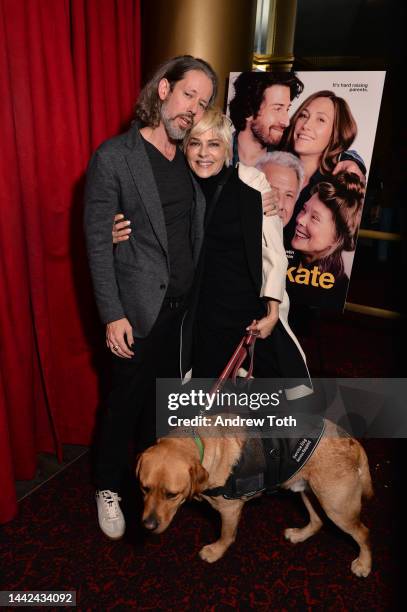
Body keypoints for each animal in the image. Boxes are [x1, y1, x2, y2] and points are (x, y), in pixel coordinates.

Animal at [136, 418, 372, 576]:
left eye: (172, 494)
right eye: (144, 489)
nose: (148, 526)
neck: (202, 444)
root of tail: (352, 442)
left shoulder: (229, 510)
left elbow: (226, 536)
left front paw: (215, 551)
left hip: (336, 507)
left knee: (363, 533)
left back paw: (364, 564)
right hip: (307, 492)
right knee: (317, 521)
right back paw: (299, 535)